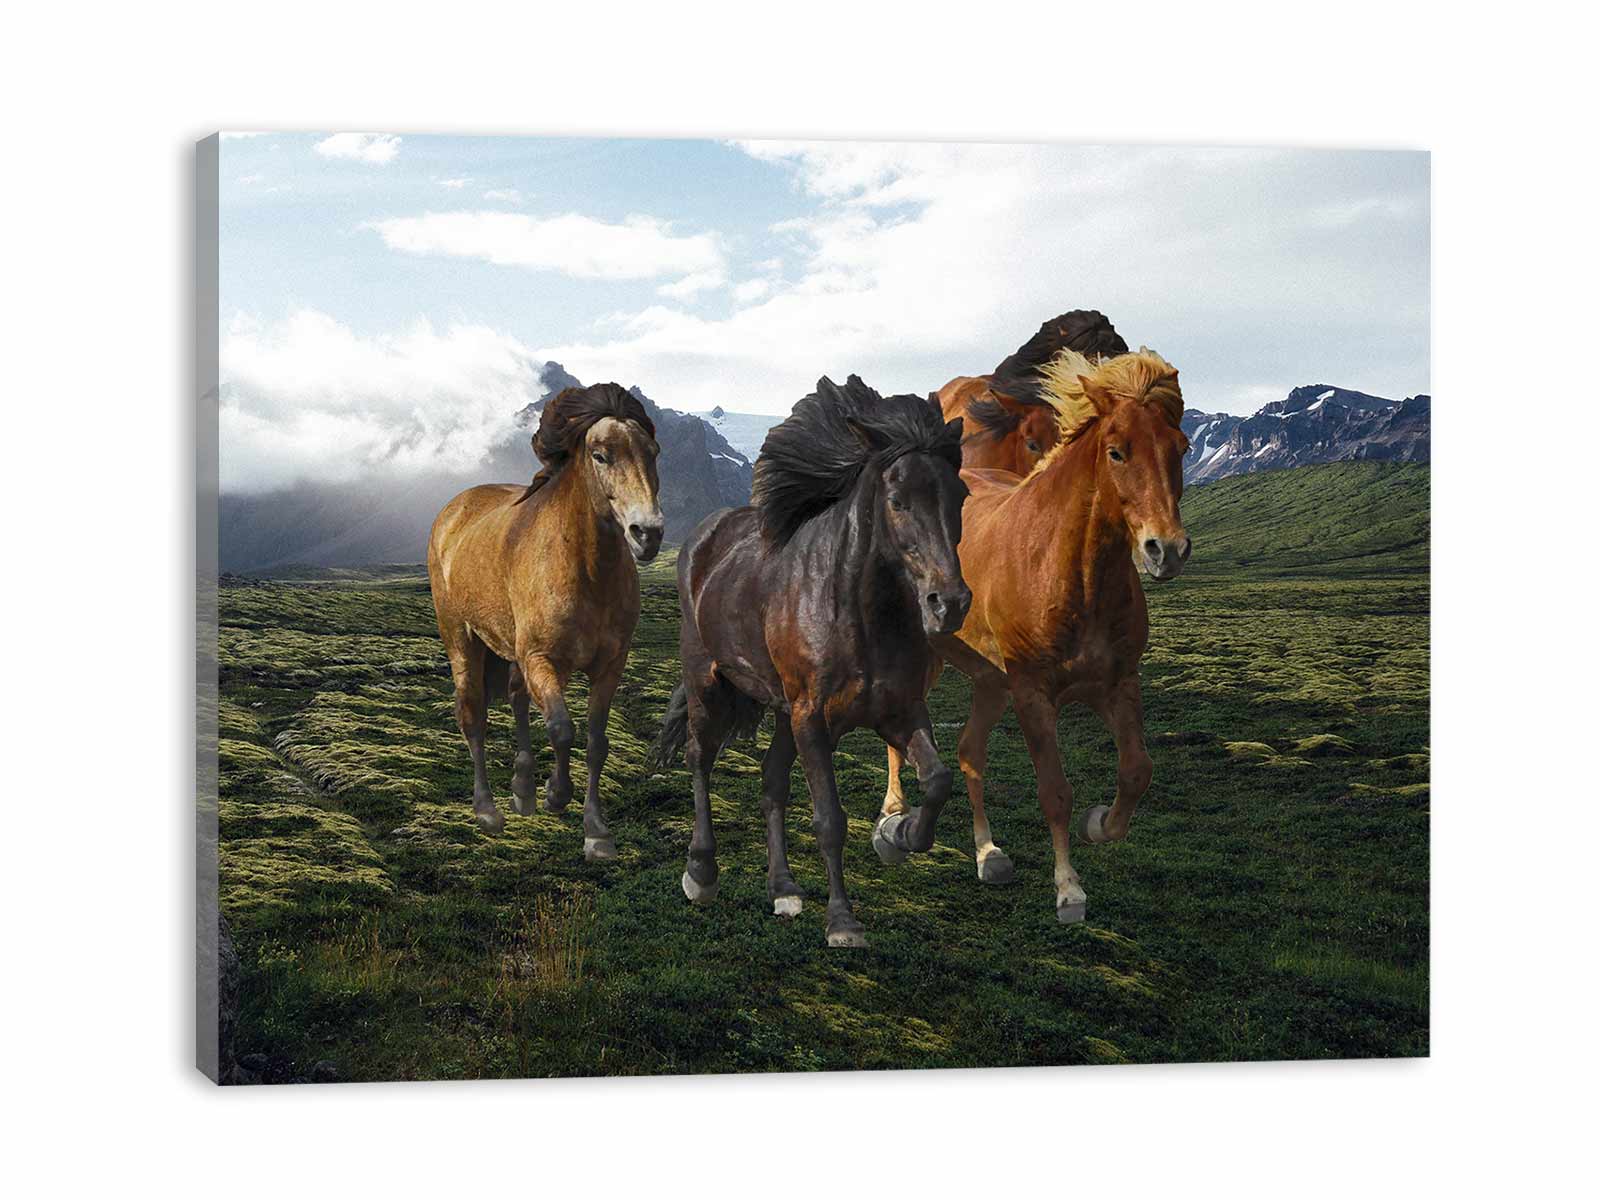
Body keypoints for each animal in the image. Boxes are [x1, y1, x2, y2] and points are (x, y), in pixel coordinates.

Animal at [428, 383, 664, 858]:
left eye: (653, 453)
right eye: (600, 455)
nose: (647, 534)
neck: (586, 571)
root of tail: (453, 510)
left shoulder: (610, 666)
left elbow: (596, 742)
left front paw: (596, 831)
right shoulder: (542, 659)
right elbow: (561, 728)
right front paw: (557, 794)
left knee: (517, 698)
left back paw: (522, 790)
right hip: (462, 640)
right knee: (473, 716)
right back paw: (488, 811)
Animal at [648, 376, 970, 948]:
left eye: (960, 496)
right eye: (896, 500)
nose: (948, 603)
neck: (858, 612)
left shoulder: (898, 709)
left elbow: (938, 780)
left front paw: (899, 832)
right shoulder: (814, 719)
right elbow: (828, 819)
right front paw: (842, 920)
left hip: (782, 711)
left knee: (771, 782)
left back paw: (783, 889)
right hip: (709, 682)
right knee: (699, 759)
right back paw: (701, 872)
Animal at [881, 347, 1190, 923]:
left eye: (1180, 448)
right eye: (1116, 452)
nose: (1167, 550)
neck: (1069, 569)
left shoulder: (1118, 684)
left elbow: (1137, 770)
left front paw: (1098, 824)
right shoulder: (1032, 694)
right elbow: (1054, 791)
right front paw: (1069, 889)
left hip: (989, 682)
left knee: (969, 751)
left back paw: (989, 854)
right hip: (931, 662)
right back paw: (892, 822)